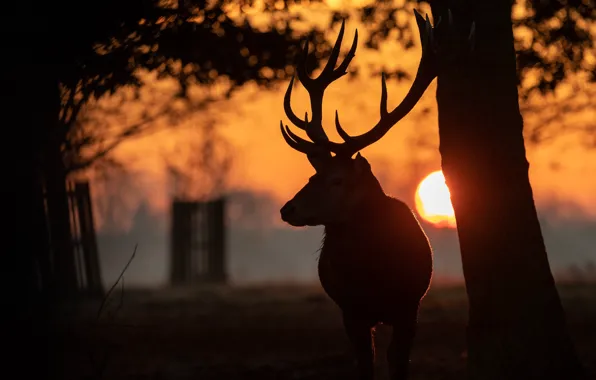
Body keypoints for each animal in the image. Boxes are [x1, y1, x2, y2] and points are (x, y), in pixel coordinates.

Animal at [278, 11, 454, 380]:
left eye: (337, 180)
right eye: (312, 175)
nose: (288, 209)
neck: (375, 278)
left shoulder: (409, 307)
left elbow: (399, 362)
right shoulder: (351, 311)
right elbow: (364, 363)